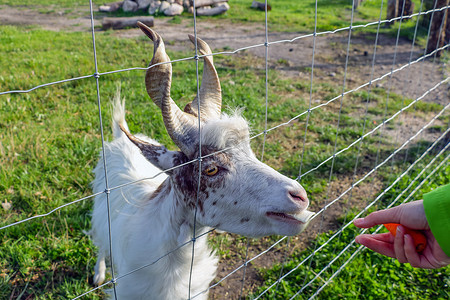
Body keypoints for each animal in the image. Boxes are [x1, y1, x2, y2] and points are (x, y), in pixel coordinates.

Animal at [90, 23, 314, 300]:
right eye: (211, 168)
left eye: (249, 150)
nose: (300, 196)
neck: (175, 267)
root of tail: (121, 137)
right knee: (100, 243)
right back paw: (98, 274)